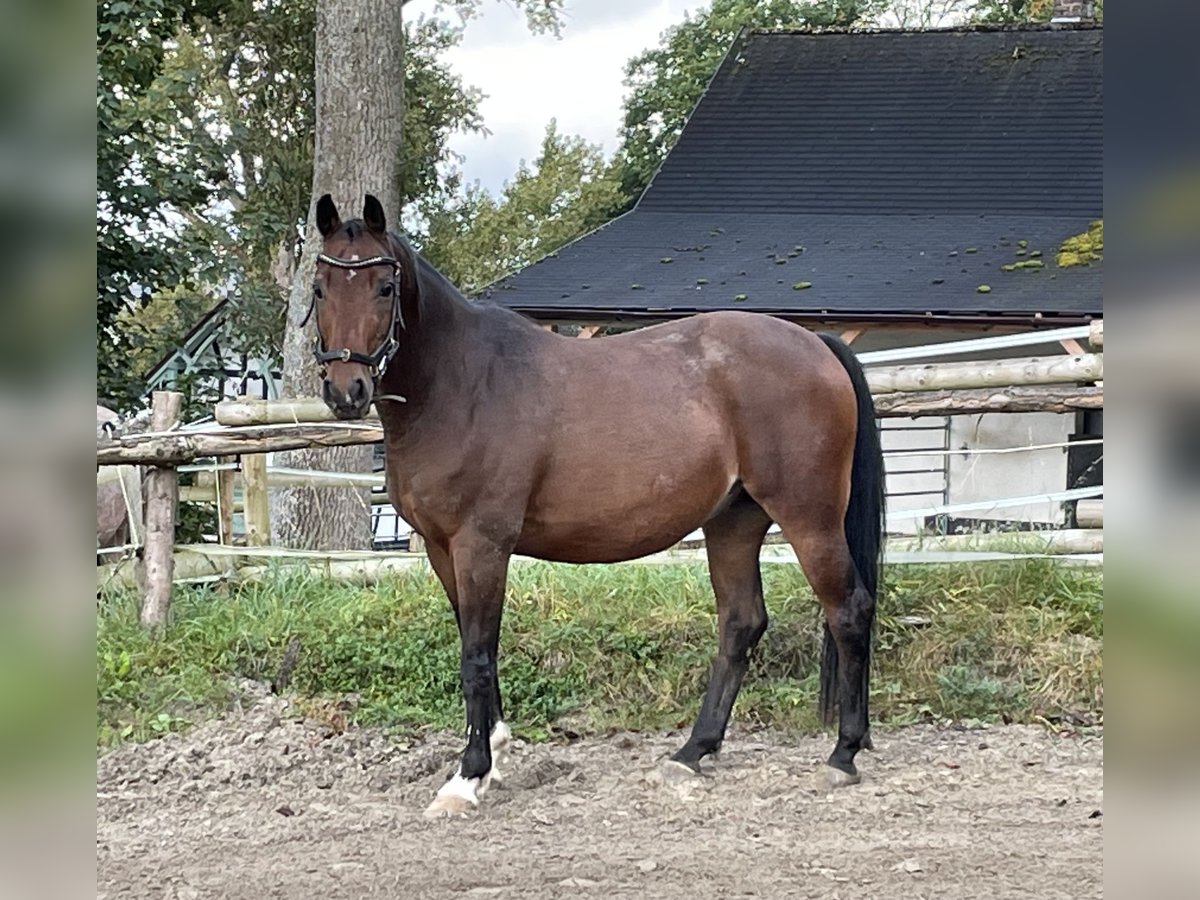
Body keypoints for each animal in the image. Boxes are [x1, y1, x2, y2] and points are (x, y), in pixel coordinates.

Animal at [309, 195, 888, 816]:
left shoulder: (481, 545)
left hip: (810, 518)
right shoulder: (443, 550)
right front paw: (494, 752)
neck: (462, 383)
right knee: (741, 624)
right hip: (734, 523)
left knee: (848, 610)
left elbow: (477, 656)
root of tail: (815, 344)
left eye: (384, 287)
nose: (347, 391)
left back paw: (843, 754)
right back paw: (692, 751)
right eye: (320, 286)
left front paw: (468, 776)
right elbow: (473, 641)